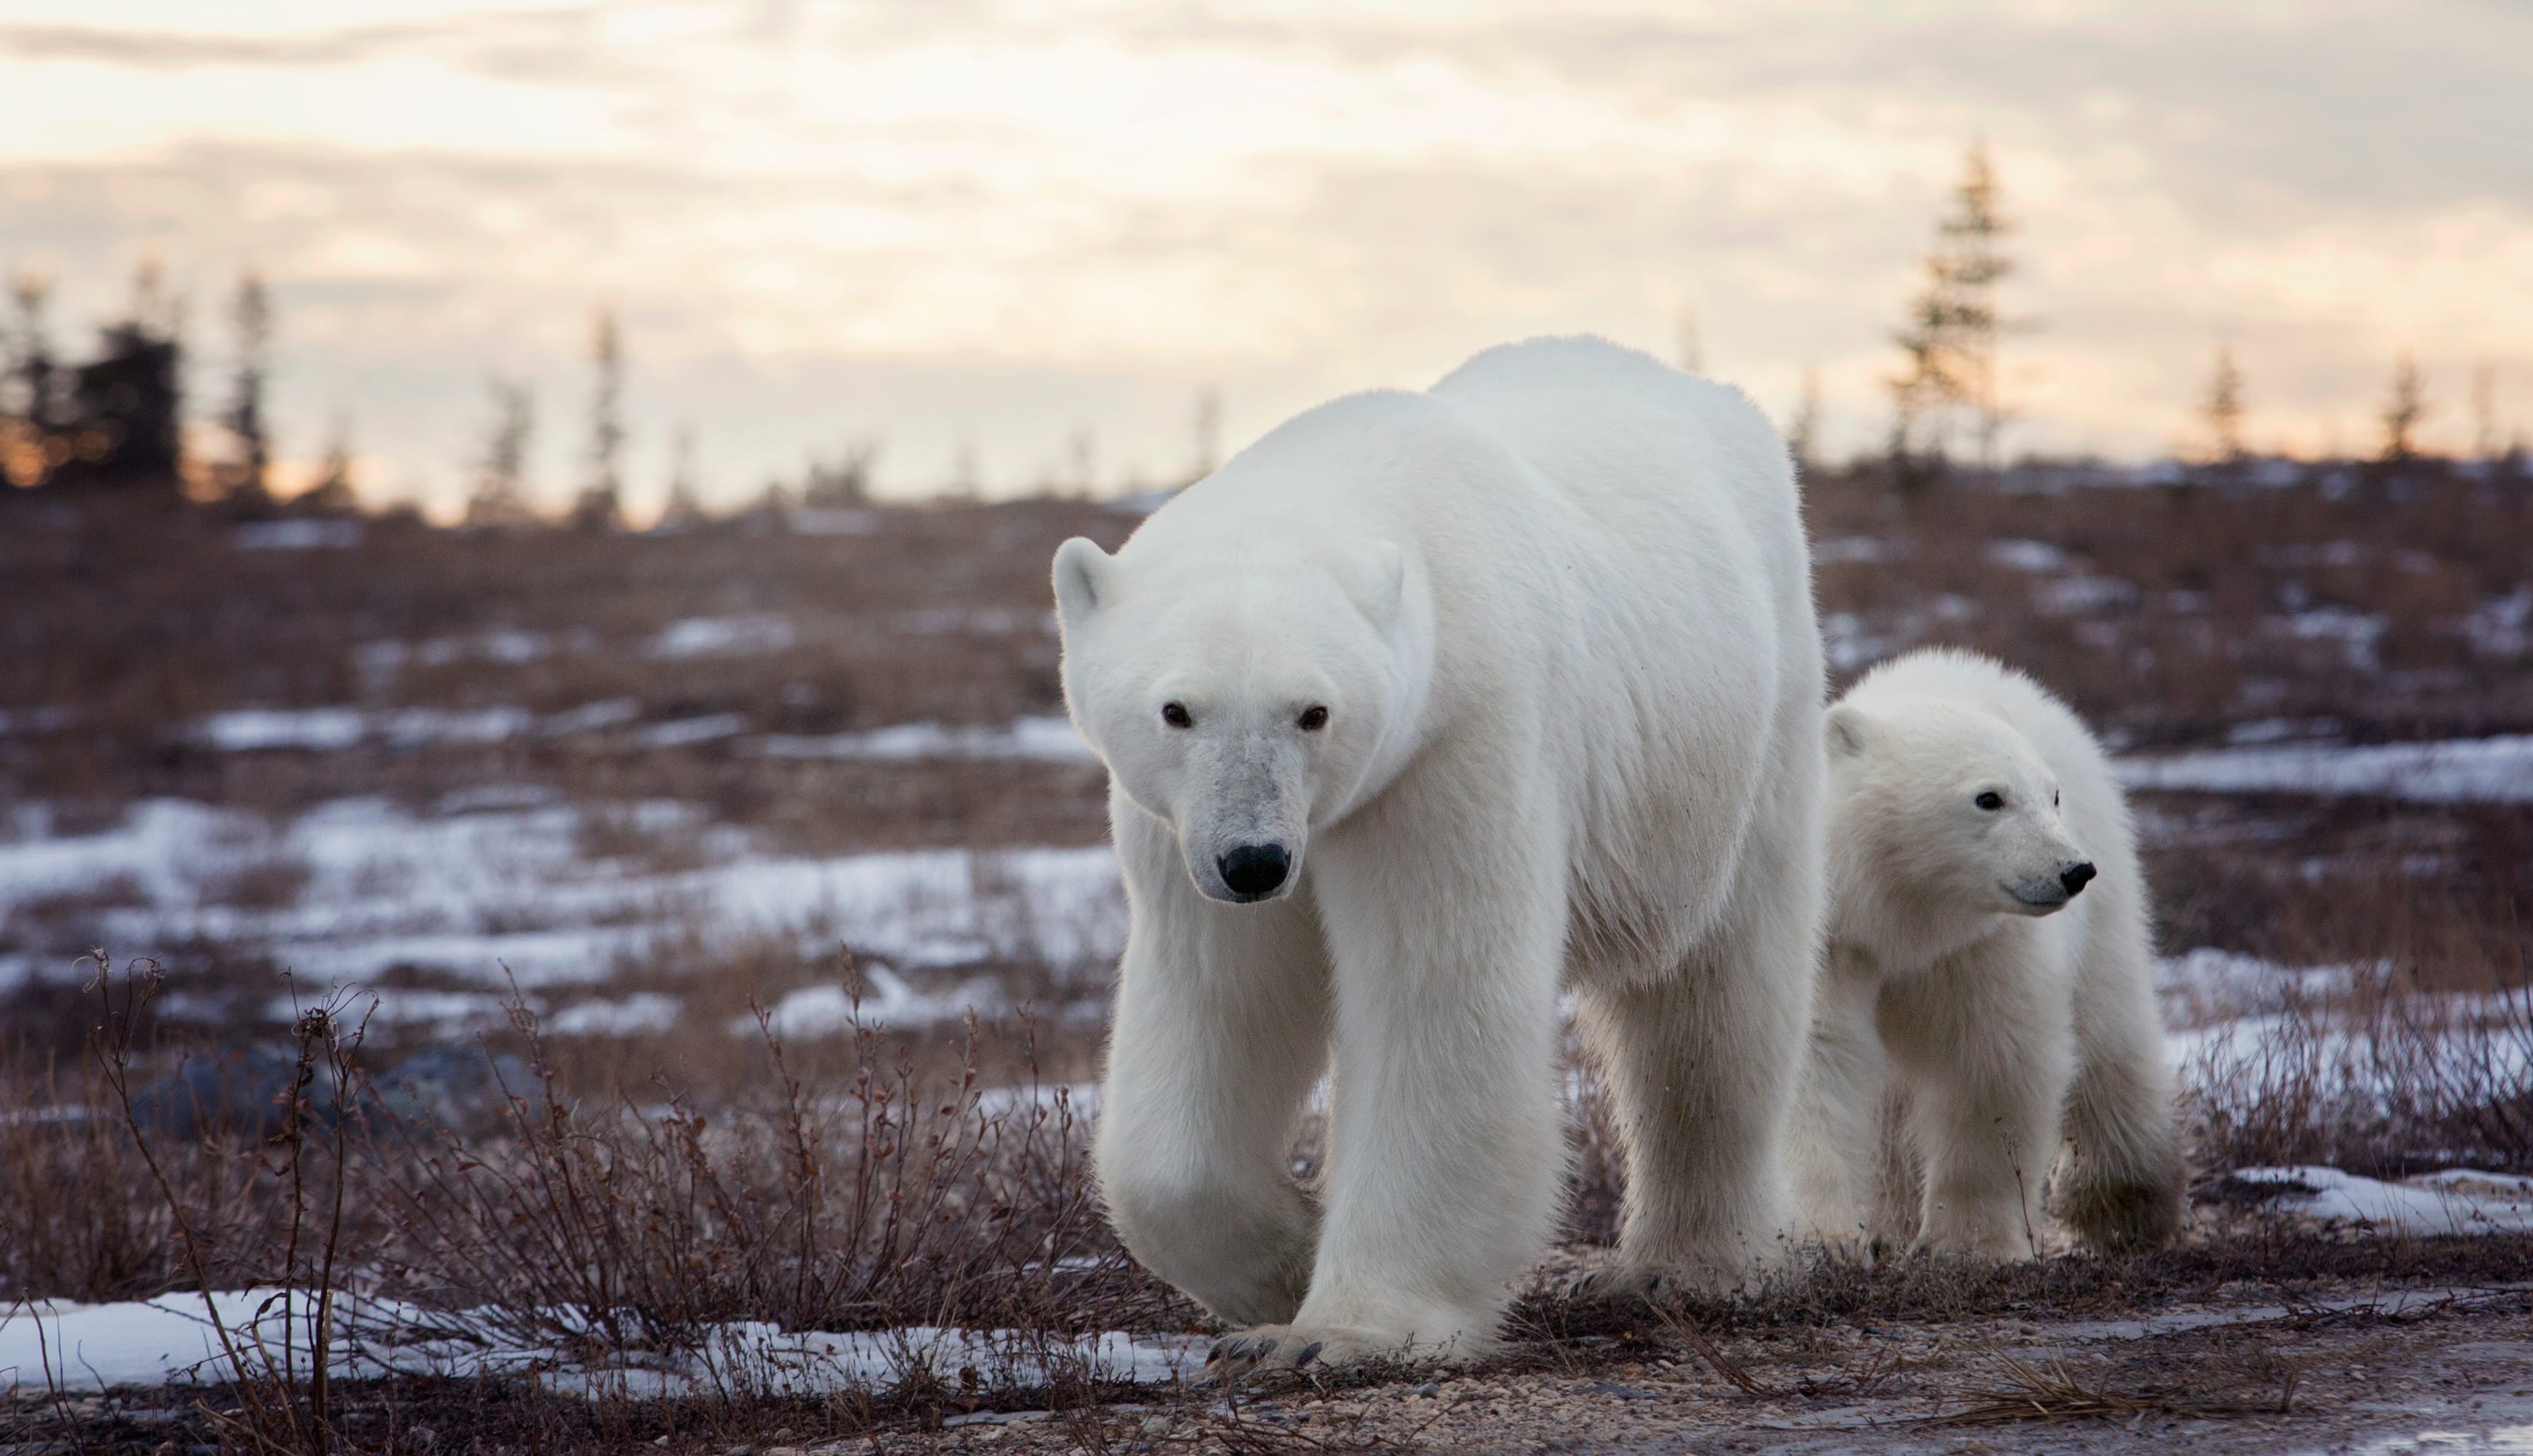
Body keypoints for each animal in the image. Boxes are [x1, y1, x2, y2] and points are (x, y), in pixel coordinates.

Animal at [1048, 336, 1823, 1377]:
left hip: (1743, 730)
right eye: (1177, 709)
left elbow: (1435, 994)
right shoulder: (1178, 833)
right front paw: (1283, 1264)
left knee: (1717, 996)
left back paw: (1683, 1267)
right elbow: (1218, 997)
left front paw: (1337, 1331)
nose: (1254, 861)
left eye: (1313, 710)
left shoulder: (1452, 745)